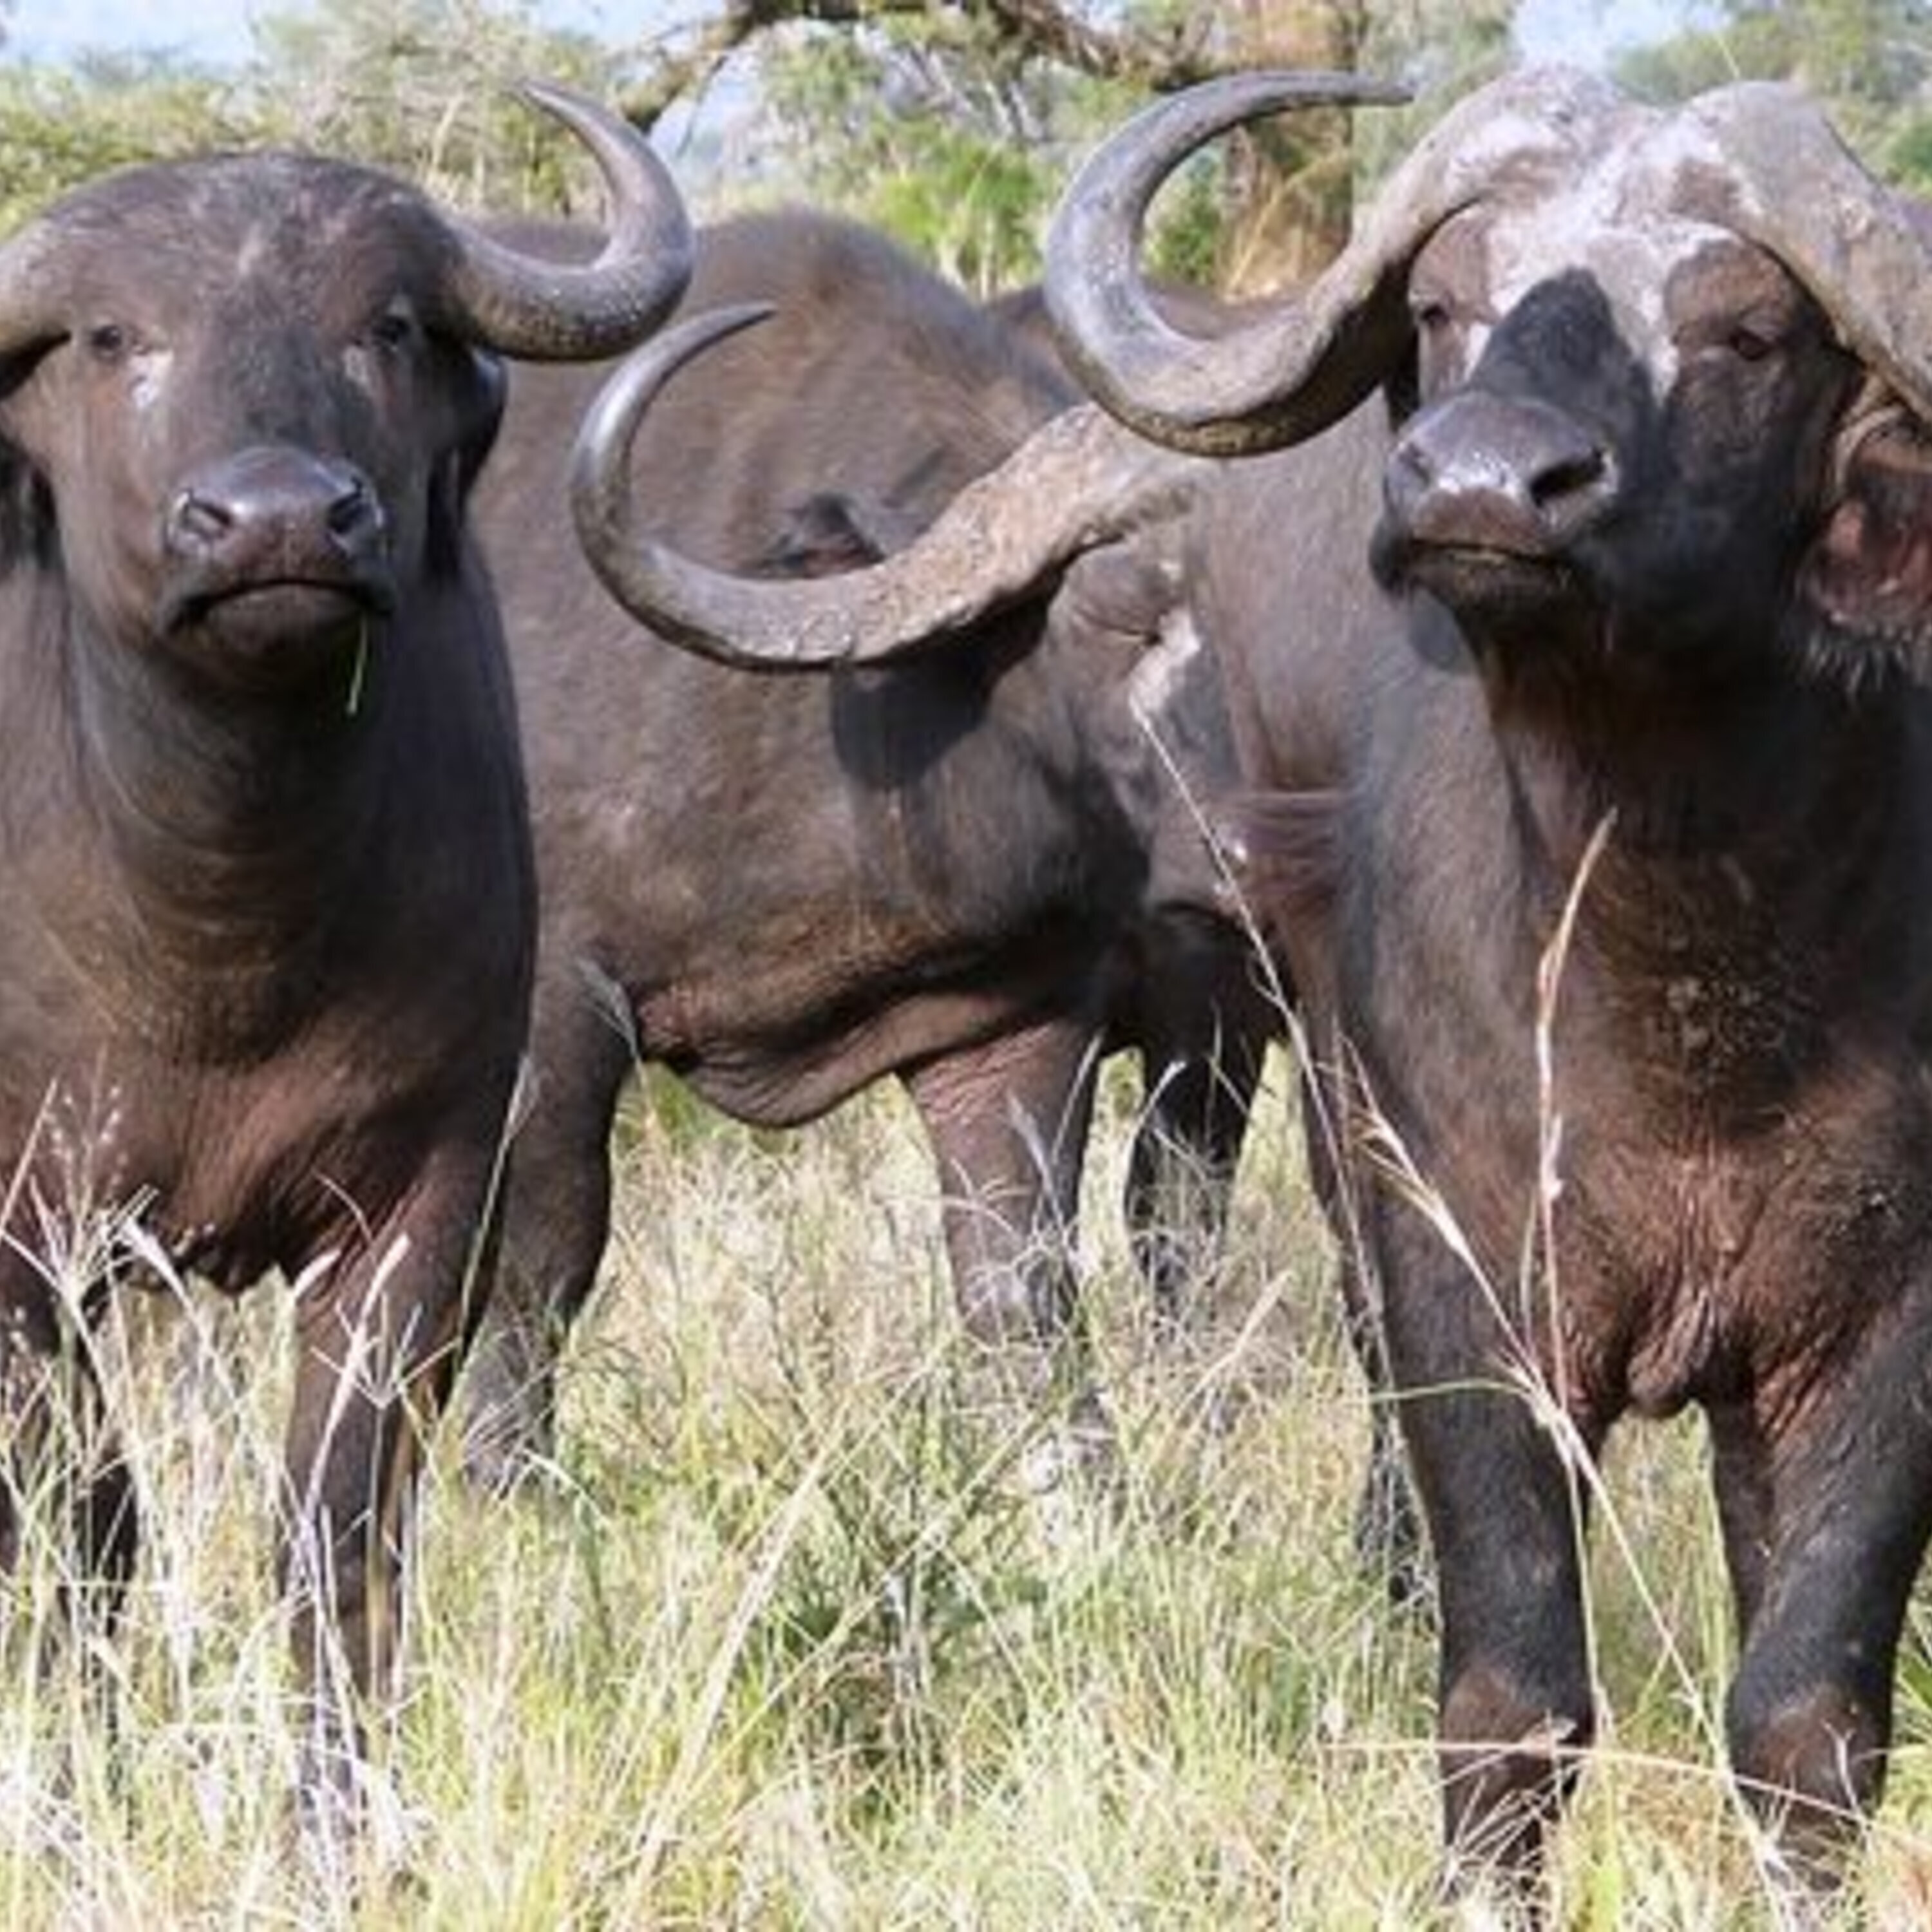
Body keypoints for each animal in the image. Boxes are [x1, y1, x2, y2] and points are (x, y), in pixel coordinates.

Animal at [0, 88, 691, 1851]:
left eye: (381, 324)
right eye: (114, 335)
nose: (275, 524)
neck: (216, 931)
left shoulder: (421, 1205)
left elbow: (337, 1523)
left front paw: (338, 1813)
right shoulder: (19, 1238)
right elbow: (74, 1517)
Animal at [460, 208, 1286, 1487]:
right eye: (1126, 611)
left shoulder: (1024, 1025)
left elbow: (1025, 1276)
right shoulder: (552, 1010)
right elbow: (541, 1260)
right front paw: (506, 1488)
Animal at [1046, 66, 1932, 1909]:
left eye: (1747, 329)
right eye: (1448, 304)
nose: (1478, 489)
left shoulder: (1883, 1322)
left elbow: (1807, 1716)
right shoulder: (1462, 1277)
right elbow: (1513, 1693)